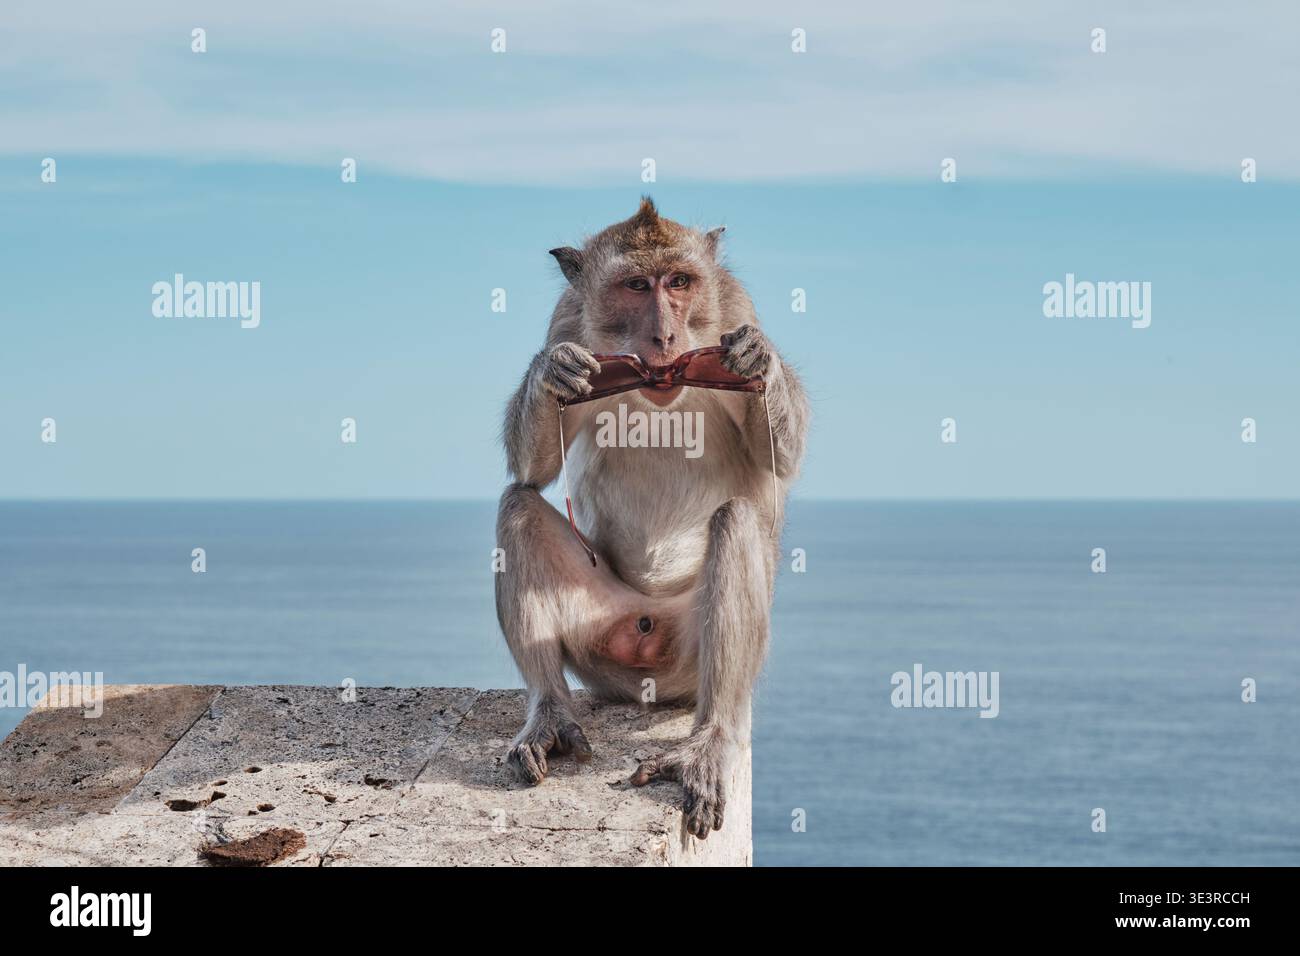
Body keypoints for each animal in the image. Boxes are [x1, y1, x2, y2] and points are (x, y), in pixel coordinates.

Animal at [495, 198, 809, 840]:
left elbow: (780, 459)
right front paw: (550, 372)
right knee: (517, 504)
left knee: (735, 520)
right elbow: (533, 468)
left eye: (680, 282)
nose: (664, 335)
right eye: (636, 286)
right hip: (599, 641)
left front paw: (759, 359)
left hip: (690, 659)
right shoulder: (566, 321)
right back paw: (549, 713)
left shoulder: (735, 308)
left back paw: (710, 741)